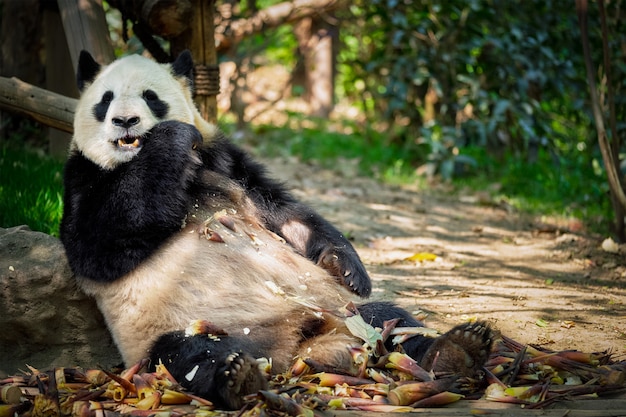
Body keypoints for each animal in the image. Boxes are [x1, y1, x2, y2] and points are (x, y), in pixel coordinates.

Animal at [61, 50, 494, 408]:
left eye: (151, 96)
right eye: (105, 100)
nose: (125, 121)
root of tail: (296, 347)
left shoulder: (227, 161)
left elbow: (286, 215)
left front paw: (348, 267)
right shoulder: (83, 177)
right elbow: (99, 244)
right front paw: (170, 139)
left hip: (341, 311)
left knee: (392, 319)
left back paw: (457, 349)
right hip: (177, 329)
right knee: (190, 352)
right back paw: (236, 377)